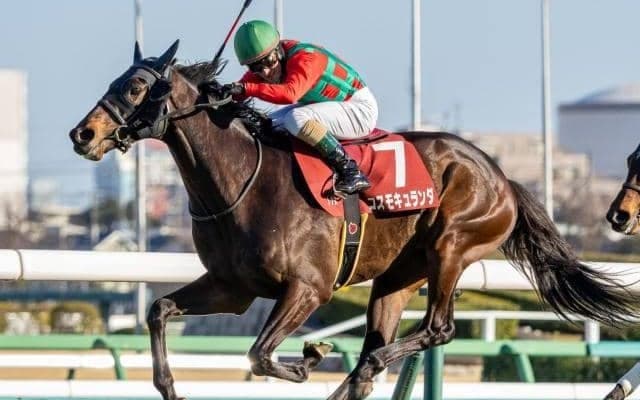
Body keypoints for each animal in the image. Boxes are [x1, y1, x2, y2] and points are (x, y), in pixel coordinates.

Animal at [69, 41, 640, 400]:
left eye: (137, 87)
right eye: (117, 81)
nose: (83, 134)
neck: (240, 182)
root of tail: (503, 177)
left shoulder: (309, 288)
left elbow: (259, 355)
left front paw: (311, 355)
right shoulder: (233, 287)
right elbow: (159, 310)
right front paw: (170, 386)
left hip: (452, 245)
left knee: (435, 329)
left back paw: (366, 360)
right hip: (396, 276)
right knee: (378, 347)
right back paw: (361, 369)